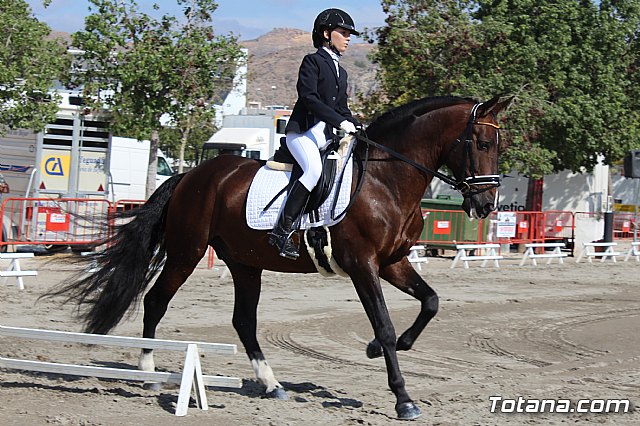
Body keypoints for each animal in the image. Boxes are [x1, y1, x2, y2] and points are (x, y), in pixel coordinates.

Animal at [45, 95, 511, 420]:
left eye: (498, 146)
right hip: (186, 253)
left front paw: (380, 348)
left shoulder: (393, 262)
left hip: (244, 263)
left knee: (243, 321)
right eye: (482, 142)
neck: (386, 178)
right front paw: (403, 398)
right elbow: (384, 320)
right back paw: (147, 372)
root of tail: (191, 175)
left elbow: (430, 302)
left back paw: (270, 384)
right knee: (156, 301)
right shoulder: (363, 266)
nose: (486, 206)